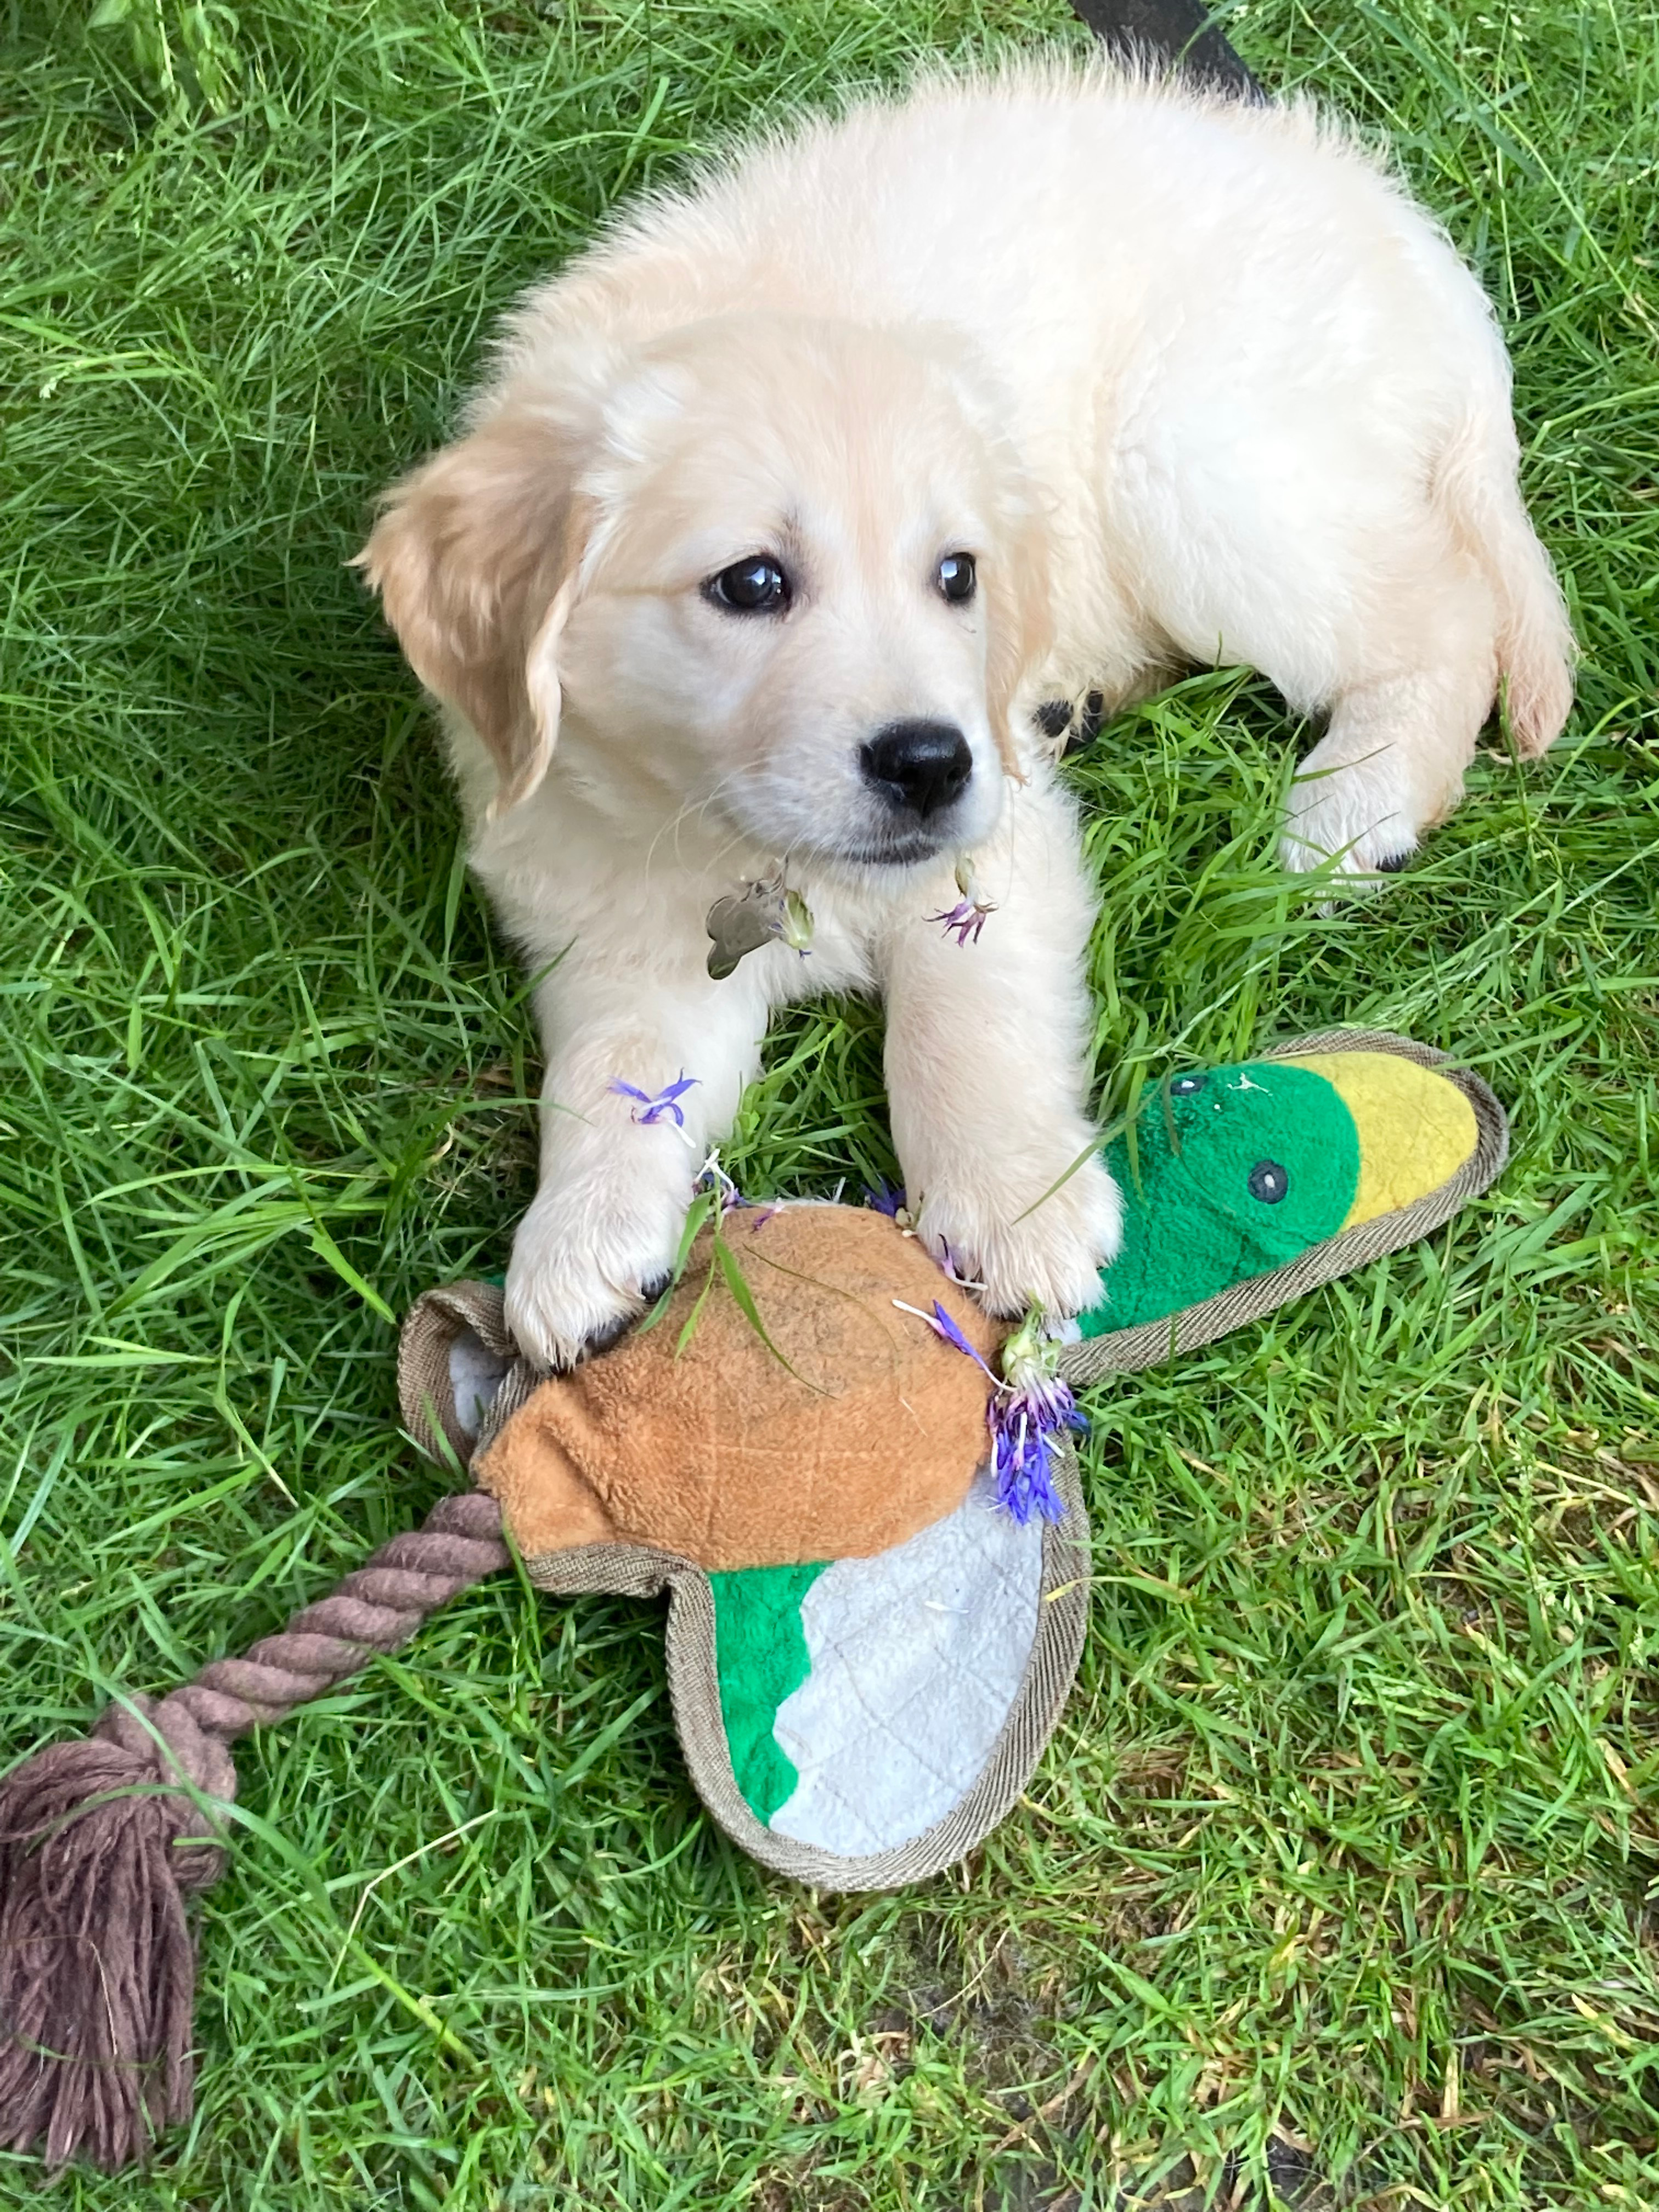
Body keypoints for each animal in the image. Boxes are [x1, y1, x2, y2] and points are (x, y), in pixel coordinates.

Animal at [360, 60, 1575, 1362]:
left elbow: (964, 1017)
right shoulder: (609, 912)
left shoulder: (1002, 839)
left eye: (957, 575)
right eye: (751, 583)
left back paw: (1348, 811)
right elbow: (612, 1069)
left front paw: (1014, 1206)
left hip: (1194, 461)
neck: (743, 844)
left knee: (1443, 613)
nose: (930, 764)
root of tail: (1395, 225)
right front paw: (576, 1241)